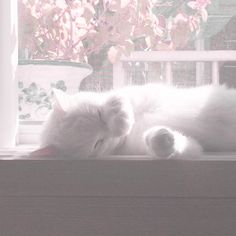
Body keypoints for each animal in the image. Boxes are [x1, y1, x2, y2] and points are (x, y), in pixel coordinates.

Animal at [37, 84, 236, 159]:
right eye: (97, 143)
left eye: (99, 114)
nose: (116, 133)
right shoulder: (193, 147)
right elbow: (179, 145)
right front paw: (163, 140)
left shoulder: (136, 94)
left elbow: (118, 100)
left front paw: (122, 120)